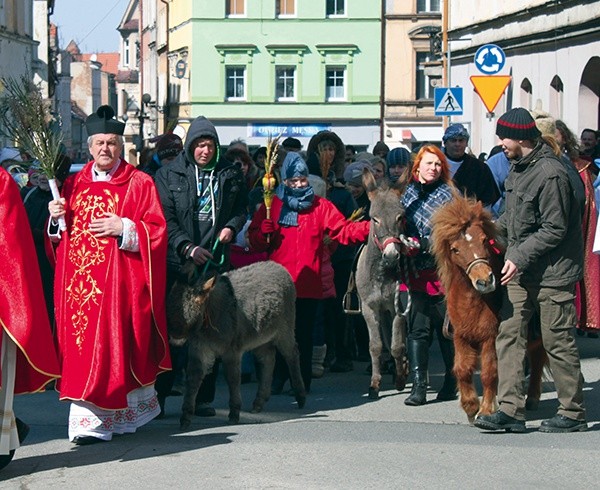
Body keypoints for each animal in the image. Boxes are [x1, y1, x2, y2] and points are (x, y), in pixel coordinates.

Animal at [432, 197, 548, 424]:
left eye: (485, 240)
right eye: (455, 249)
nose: (485, 281)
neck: (473, 302)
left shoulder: (490, 338)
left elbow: (489, 373)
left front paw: (486, 410)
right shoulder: (461, 337)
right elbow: (462, 369)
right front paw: (470, 407)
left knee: (538, 357)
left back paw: (532, 398)